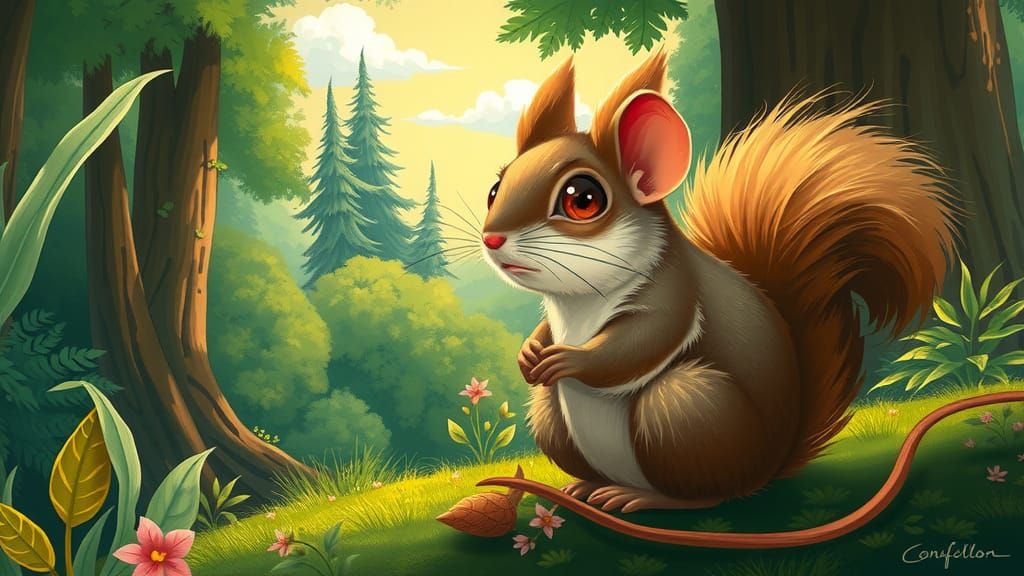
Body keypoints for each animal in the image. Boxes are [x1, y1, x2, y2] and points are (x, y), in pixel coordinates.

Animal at [473, 49, 1024, 548]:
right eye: (496, 187)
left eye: (583, 199)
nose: (492, 239)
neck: (578, 302)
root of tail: (767, 467)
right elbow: (549, 332)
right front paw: (531, 352)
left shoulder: (673, 292)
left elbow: (638, 345)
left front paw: (568, 359)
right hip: (555, 419)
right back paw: (586, 484)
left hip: (687, 409)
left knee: (708, 492)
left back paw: (641, 498)